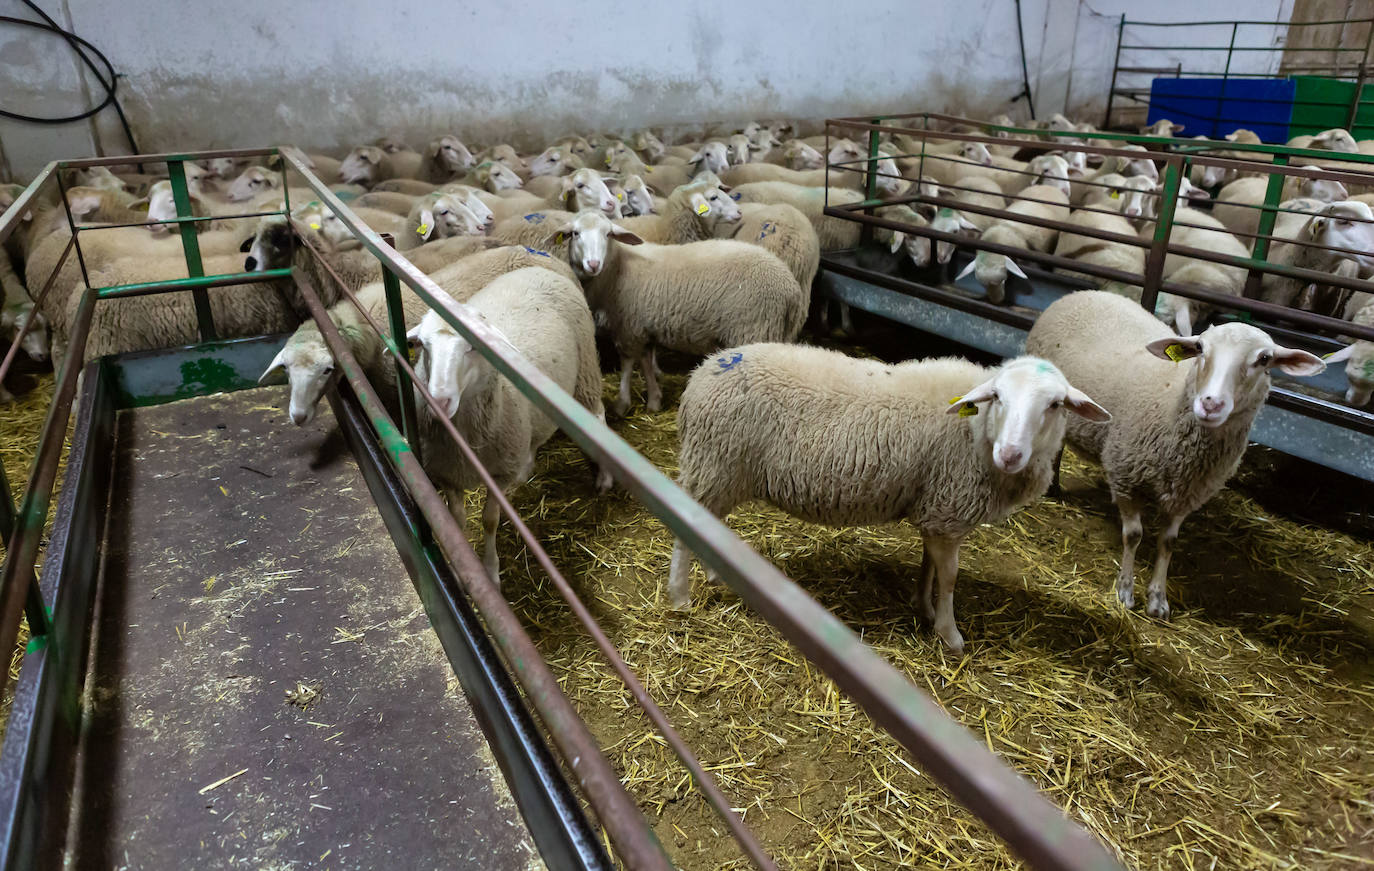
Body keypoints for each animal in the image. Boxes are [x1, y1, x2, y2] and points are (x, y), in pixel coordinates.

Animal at [409, 265, 610, 579]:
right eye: (422, 346)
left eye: (472, 347)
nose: (439, 401)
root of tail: (539, 268)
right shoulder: (447, 474)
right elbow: (457, 521)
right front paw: (461, 568)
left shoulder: (499, 475)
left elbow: (490, 520)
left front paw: (491, 571)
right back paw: (526, 469)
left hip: (585, 371)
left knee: (598, 416)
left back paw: (604, 478)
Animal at [549, 208, 802, 414]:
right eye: (575, 234)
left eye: (608, 234)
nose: (593, 264)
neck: (617, 267)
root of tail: (790, 287)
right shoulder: (643, 325)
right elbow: (646, 361)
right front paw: (654, 400)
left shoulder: (628, 326)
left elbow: (628, 363)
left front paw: (622, 403)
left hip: (754, 328)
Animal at [670, 342, 1110, 648]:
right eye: (998, 396)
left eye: (1055, 404)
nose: (1010, 454)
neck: (975, 429)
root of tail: (702, 372)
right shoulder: (949, 509)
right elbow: (951, 576)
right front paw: (950, 634)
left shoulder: (935, 508)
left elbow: (929, 565)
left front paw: (924, 607)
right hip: (714, 464)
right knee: (684, 532)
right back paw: (680, 597)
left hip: (721, 473)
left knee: (708, 524)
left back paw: (715, 574)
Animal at [1027, 291, 1324, 618]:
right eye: (1201, 349)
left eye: (1264, 359)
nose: (1210, 404)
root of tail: (1085, 293)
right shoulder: (1126, 476)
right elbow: (1133, 535)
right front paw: (1125, 591)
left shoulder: (1188, 494)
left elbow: (1168, 542)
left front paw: (1158, 598)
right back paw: (1053, 487)